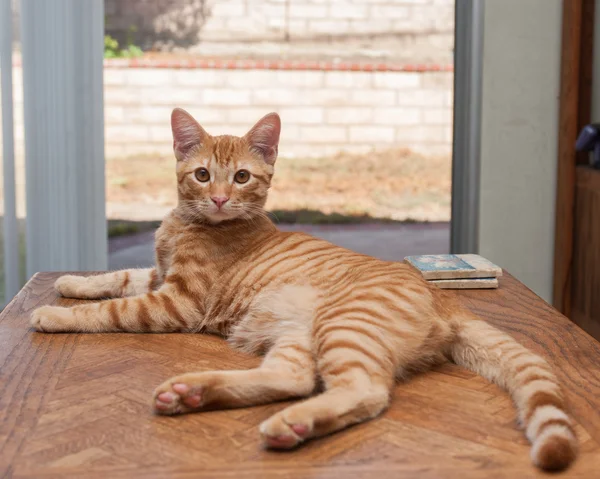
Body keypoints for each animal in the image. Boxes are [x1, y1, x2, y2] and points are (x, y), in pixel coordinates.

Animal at [31, 109, 576, 472]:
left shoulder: (176, 301)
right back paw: (195, 393)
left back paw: (289, 424)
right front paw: (71, 282)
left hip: (344, 327)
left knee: (365, 392)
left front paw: (53, 315)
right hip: (297, 333)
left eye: (242, 177)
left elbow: (113, 310)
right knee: (292, 379)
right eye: (202, 174)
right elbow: (118, 278)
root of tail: (445, 296)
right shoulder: (159, 276)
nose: (219, 198)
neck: (189, 223)